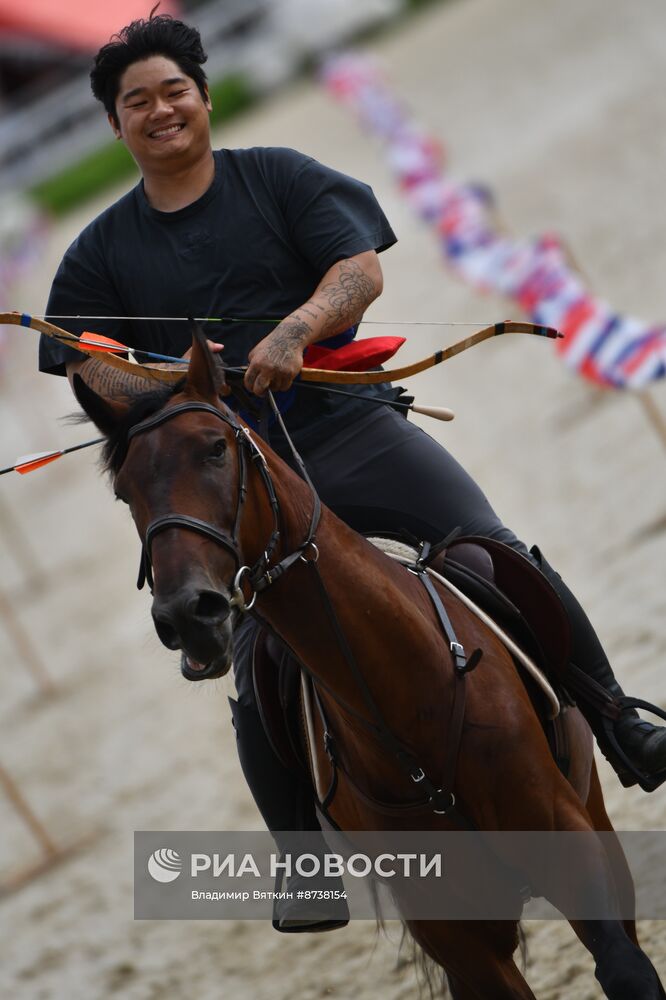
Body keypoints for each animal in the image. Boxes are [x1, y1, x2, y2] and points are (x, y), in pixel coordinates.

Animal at [70, 330, 660, 1000]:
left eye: (215, 448)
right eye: (125, 491)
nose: (187, 613)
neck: (406, 702)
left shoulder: (571, 847)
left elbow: (625, 967)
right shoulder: (457, 938)